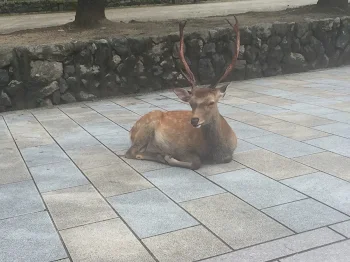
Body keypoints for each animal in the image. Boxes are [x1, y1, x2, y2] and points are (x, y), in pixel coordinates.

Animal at [126, 15, 241, 170]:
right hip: (145, 129)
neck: (215, 152)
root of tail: (131, 130)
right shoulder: (181, 149)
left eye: (211, 102)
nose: (194, 120)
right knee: (131, 152)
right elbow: (196, 163)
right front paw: (169, 157)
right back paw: (160, 155)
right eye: (191, 103)